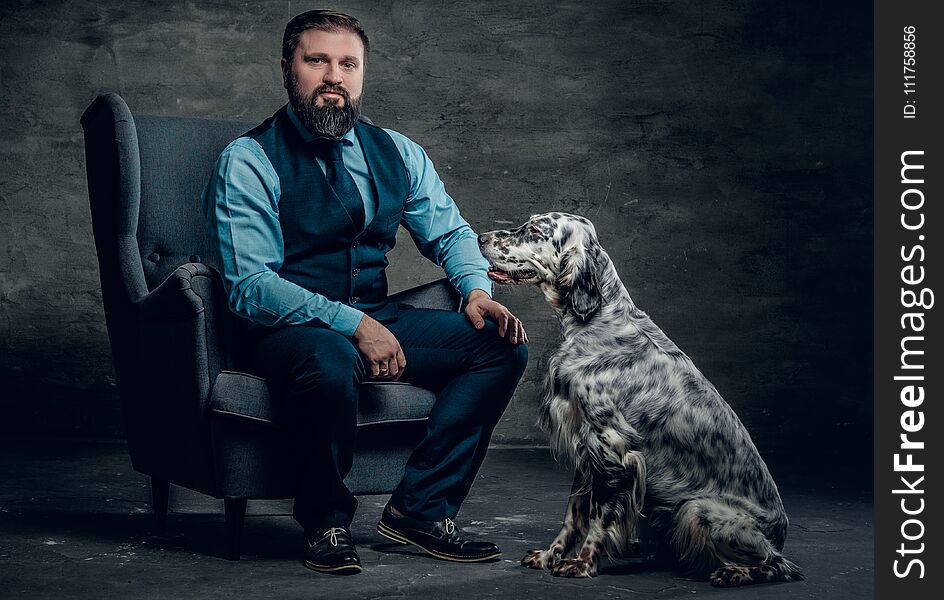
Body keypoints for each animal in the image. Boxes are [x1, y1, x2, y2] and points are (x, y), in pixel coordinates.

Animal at [480, 212, 804, 584]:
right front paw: (551, 555)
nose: (480, 237)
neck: (597, 320)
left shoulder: (613, 449)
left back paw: (735, 572)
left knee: (781, 565)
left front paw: (583, 563)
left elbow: (599, 516)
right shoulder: (586, 448)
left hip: (696, 509)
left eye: (535, 231)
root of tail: (781, 532)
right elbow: (573, 514)